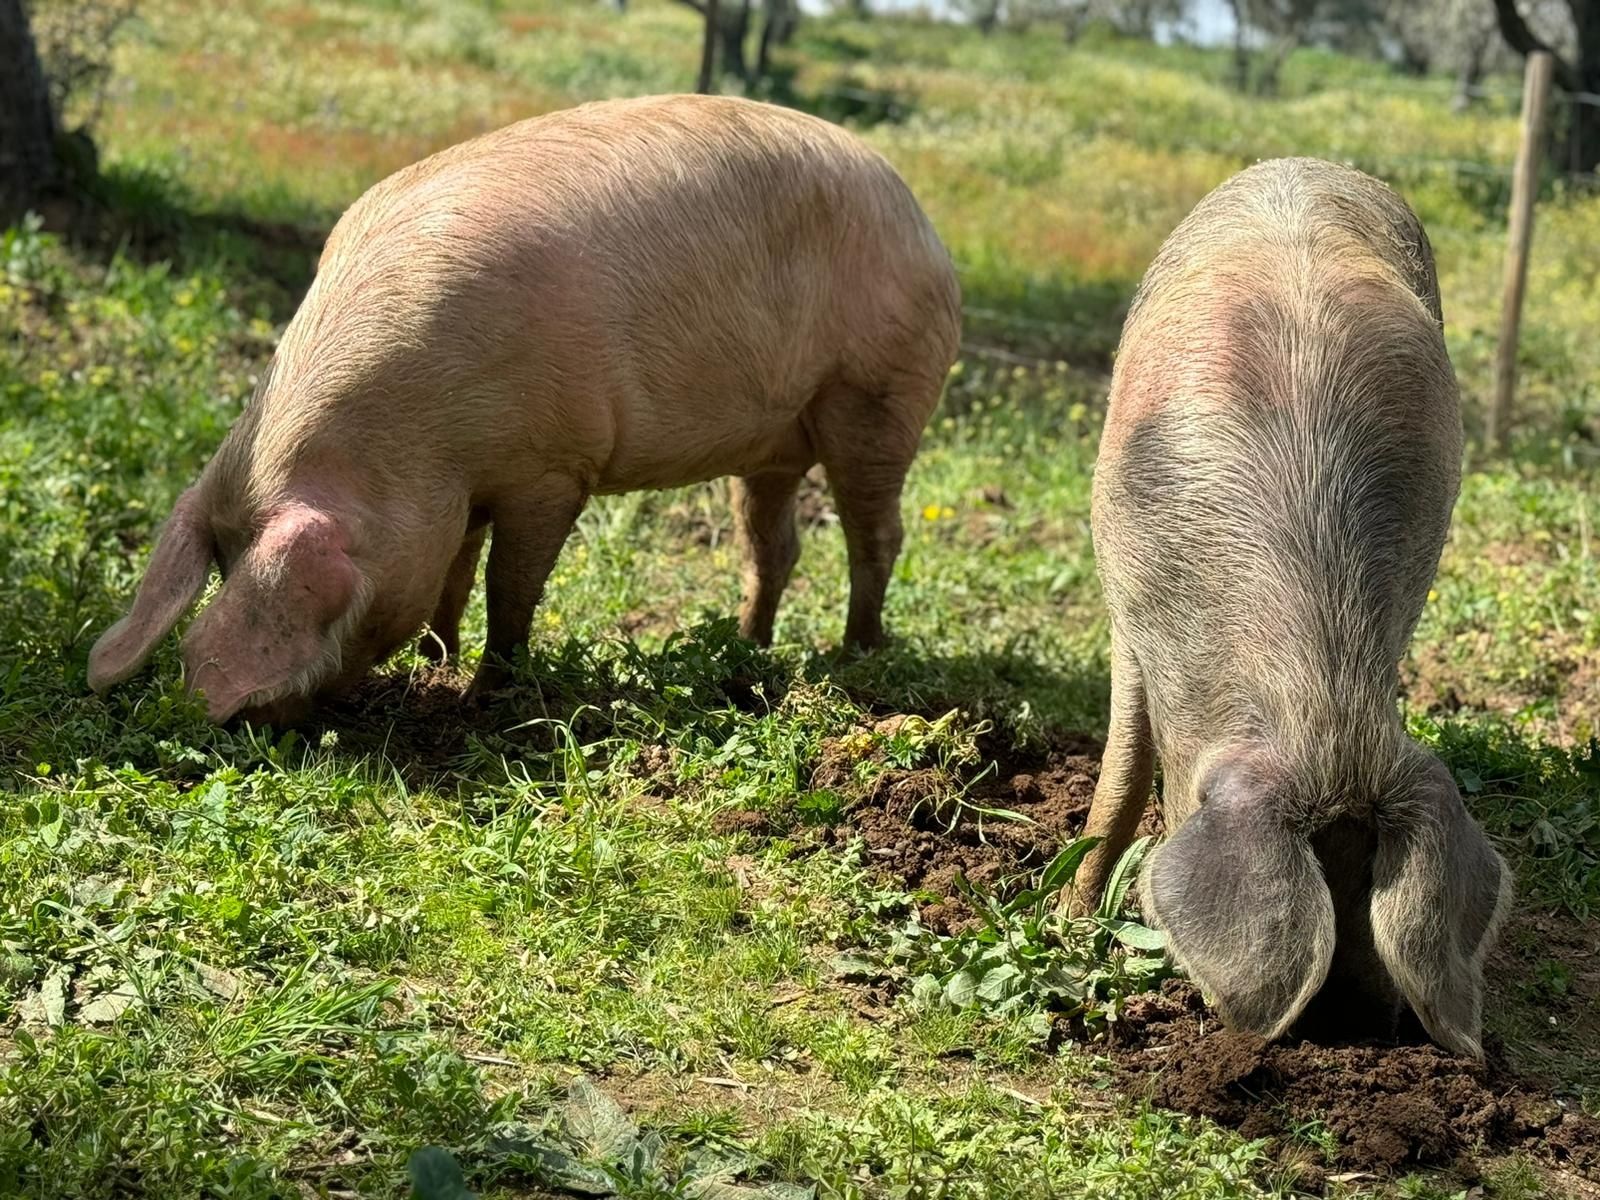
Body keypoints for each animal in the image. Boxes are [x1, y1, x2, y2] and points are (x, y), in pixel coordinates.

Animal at [87, 96, 953, 723]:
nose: (255, 721)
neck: (414, 443)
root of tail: (922, 220)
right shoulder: (458, 490)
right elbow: (454, 571)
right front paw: (436, 662)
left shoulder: (554, 467)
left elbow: (510, 583)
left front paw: (482, 695)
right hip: (775, 441)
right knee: (774, 546)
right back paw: (749, 651)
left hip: (881, 390)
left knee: (877, 533)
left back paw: (853, 656)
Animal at [1075, 157, 1510, 1062]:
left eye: (1371, 877)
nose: (1349, 1030)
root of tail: (1303, 165)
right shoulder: (1125, 602)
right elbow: (1124, 765)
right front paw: (1068, 917)